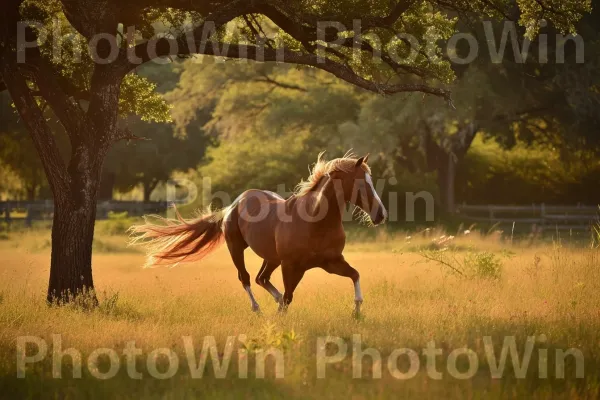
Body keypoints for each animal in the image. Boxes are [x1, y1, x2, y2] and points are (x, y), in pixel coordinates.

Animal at [128, 152, 386, 316]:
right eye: (361, 183)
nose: (381, 214)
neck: (315, 222)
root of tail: (233, 205)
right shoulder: (292, 266)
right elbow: (289, 297)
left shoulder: (330, 262)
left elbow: (355, 275)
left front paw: (357, 312)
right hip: (237, 249)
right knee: (246, 278)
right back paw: (258, 310)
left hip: (271, 258)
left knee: (262, 278)